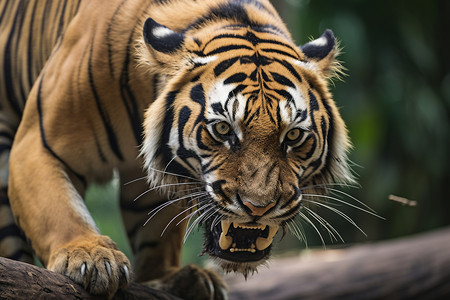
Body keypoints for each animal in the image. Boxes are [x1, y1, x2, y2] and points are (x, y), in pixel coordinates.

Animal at [0, 0, 354, 298]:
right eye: (223, 129)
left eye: (293, 136)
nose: (259, 207)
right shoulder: (38, 143)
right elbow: (59, 212)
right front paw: (89, 256)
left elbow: (157, 230)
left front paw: (170, 278)